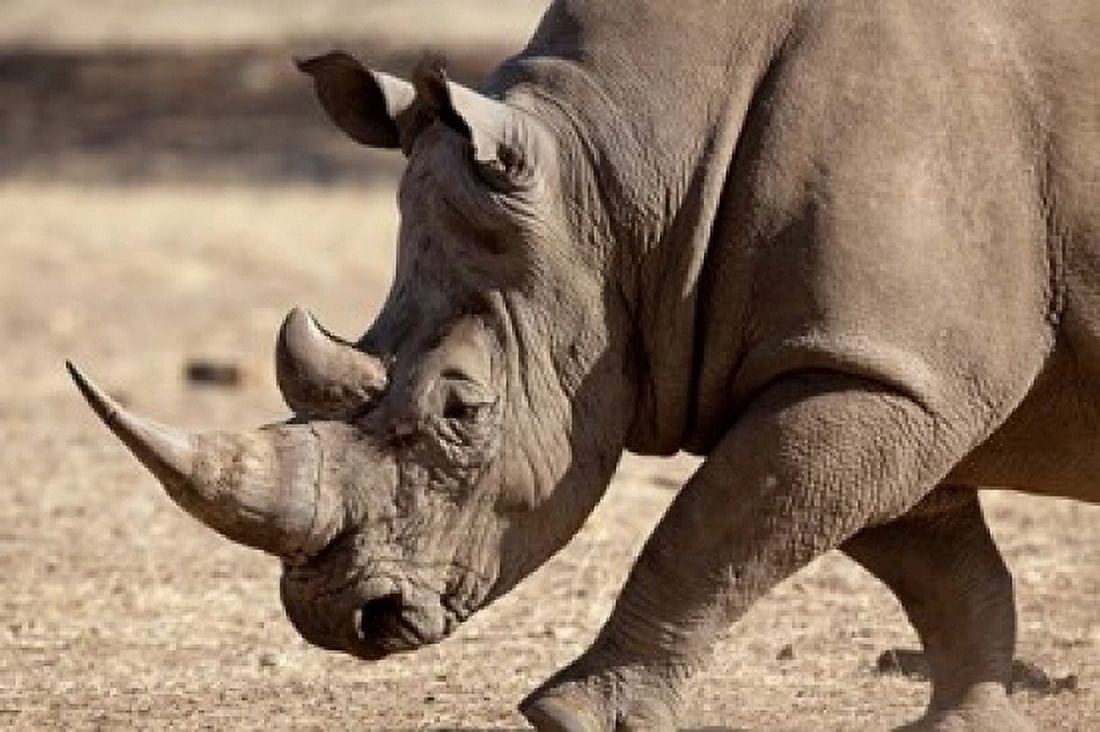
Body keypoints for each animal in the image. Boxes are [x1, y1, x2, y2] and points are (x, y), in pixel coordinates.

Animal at [69, 0, 1099, 729]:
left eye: (462, 412)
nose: (343, 618)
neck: (619, 168)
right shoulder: (888, 367)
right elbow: (940, 564)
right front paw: (964, 723)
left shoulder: (878, 368)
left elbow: (712, 533)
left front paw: (566, 715)